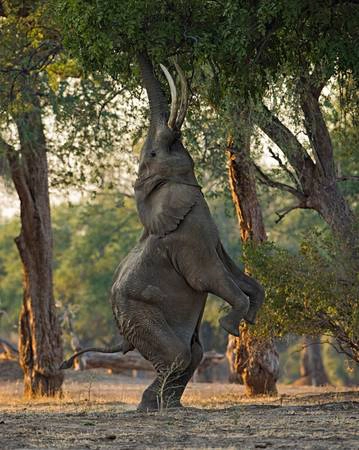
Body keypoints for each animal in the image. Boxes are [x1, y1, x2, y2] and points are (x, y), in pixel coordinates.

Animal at [59, 52, 264, 412]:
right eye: (154, 153)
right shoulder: (187, 239)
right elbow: (208, 278)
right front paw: (231, 326)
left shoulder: (209, 239)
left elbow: (239, 276)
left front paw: (251, 317)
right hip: (137, 314)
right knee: (180, 354)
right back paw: (149, 407)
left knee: (193, 353)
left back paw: (169, 406)